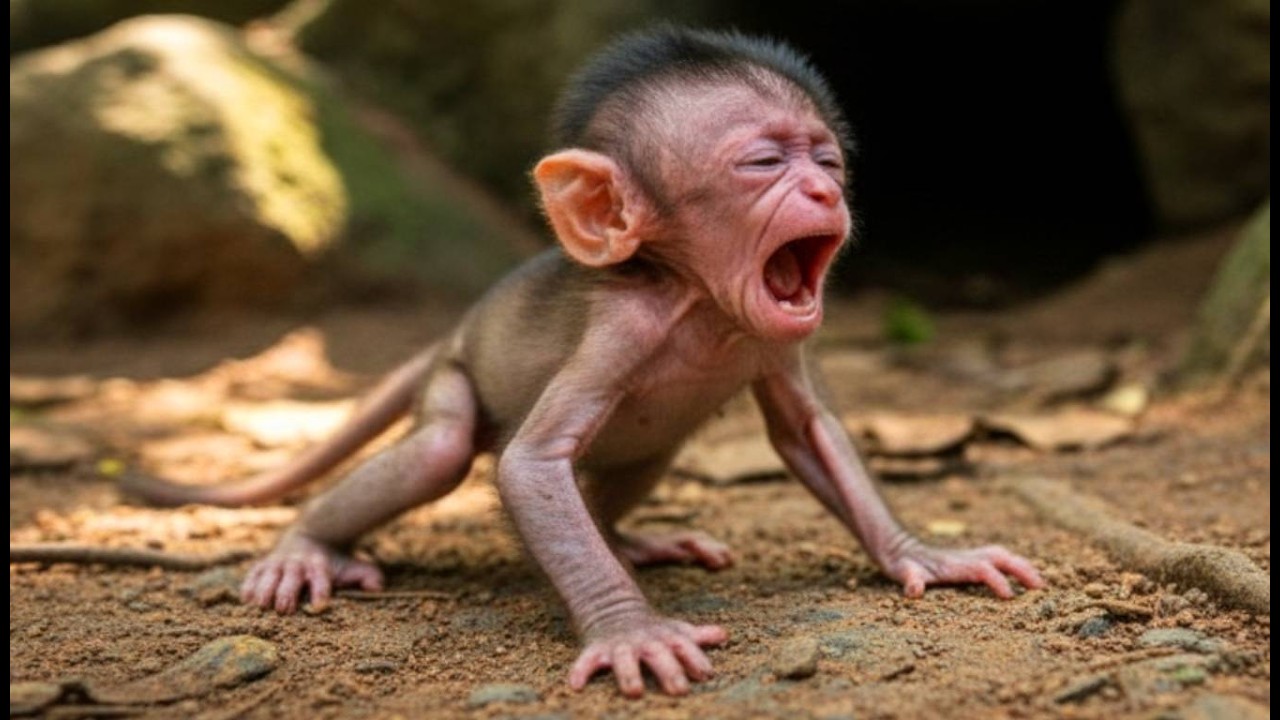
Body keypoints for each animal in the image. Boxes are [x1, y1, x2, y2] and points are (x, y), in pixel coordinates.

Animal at [122, 27, 1044, 697]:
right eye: (761, 163)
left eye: (827, 160)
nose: (826, 194)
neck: (699, 299)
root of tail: (453, 332)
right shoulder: (620, 329)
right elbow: (532, 464)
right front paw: (630, 630)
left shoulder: (777, 340)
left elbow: (810, 431)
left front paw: (923, 554)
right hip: (453, 386)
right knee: (439, 451)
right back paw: (308, 548)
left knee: (641, 454)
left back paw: (626, 537)